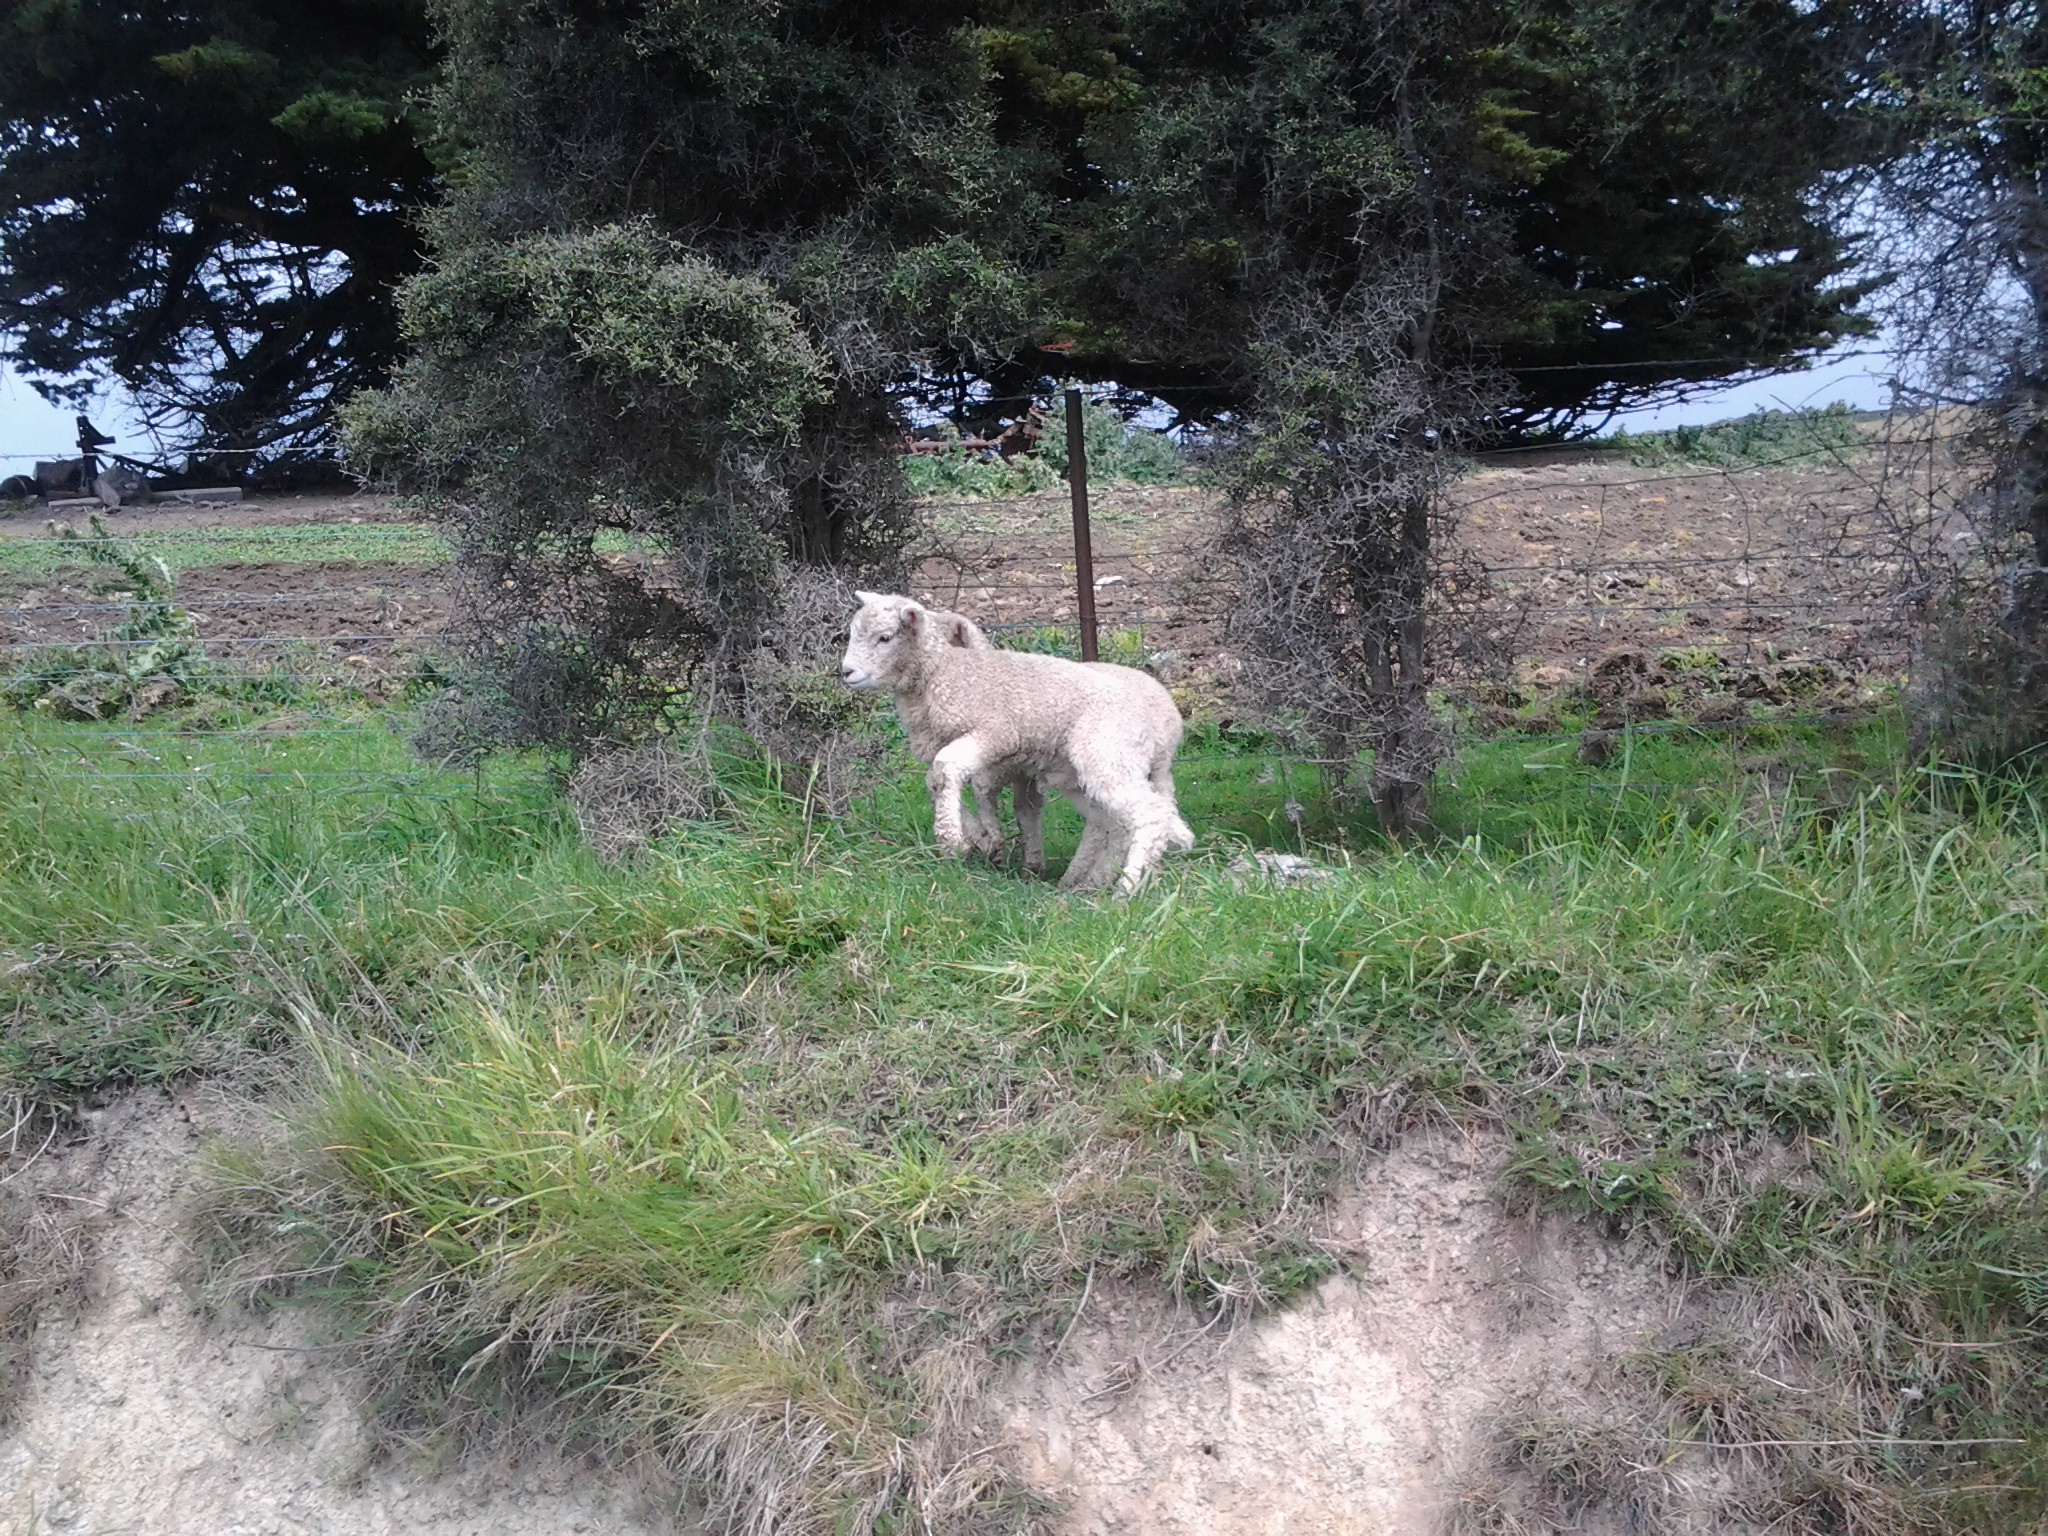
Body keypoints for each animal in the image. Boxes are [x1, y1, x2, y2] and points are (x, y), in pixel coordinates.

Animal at [841, 592, 1193, 893]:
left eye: (885, 637)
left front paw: (954, 838)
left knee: (1149, 815)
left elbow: (949, 772)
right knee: (1114, 821)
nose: (846, 672)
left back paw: (1124, 889)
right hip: (1090, 771)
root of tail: (1164, 724)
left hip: (1107, 754)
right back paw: (1093, 881)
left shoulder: (996, 734)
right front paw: (981, 838)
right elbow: (941, 782)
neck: (945, 672)